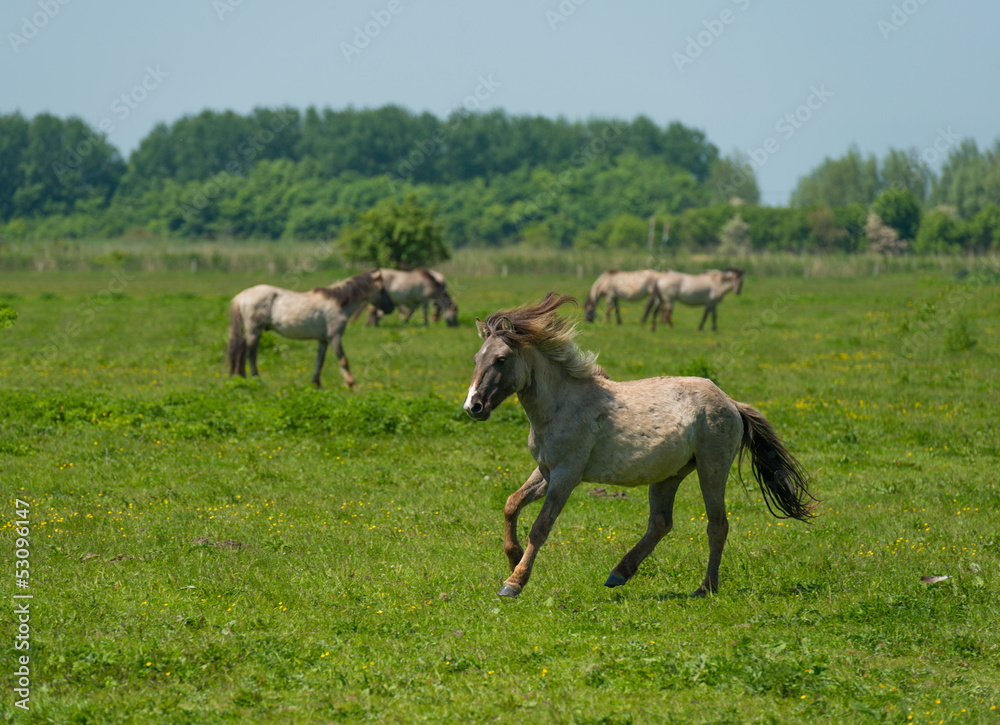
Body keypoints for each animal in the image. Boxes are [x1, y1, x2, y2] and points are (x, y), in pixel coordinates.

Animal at [227, 271, 394, 389]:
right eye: (382, 289)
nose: (391, 308)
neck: (338, 303)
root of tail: (242, 295)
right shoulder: (335, 337)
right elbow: (343, 360)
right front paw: (352, 385)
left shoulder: (323, 340)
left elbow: (319, 362)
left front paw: (316, 384)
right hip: (254, 330)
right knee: (248, 353)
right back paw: (251, 380)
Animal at [463, 293, 817, 599]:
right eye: (476, 358)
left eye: (501, 359)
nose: (473, 406)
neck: (561, 406)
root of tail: (731, 403)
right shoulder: (546, 471)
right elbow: (511, 504)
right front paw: (513, 557)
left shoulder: (567, 474)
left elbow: (540, 527)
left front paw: (514, 583)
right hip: (669, 475)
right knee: (661, 523)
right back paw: (619, 573)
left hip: (712, 469)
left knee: (717, 525)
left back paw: (705, 588)